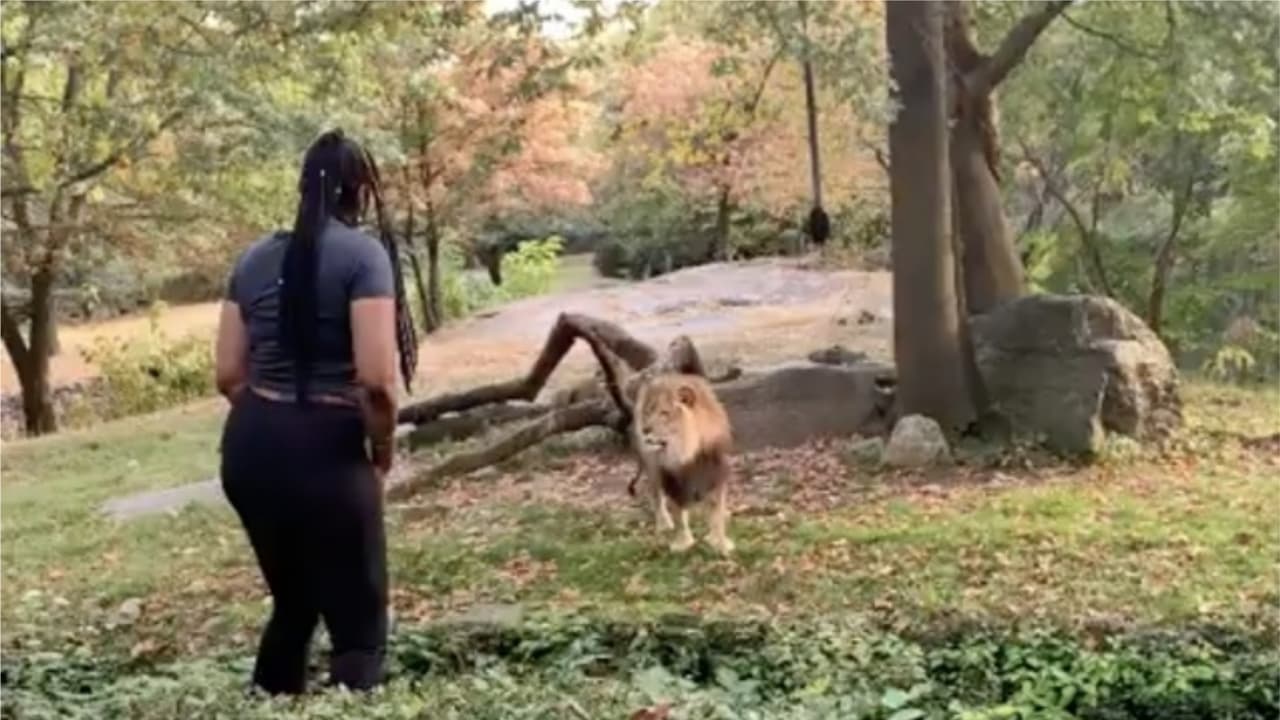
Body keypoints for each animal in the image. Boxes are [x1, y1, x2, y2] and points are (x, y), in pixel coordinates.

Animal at [630, 372, 735, 555]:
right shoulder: (672, 481)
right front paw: (683, 543)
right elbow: (678, 514)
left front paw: (720, 543)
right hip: (652, 469)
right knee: (657, 497)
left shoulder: (716, 475)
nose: (645, 430)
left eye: (664, 413)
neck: (686, 453)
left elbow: (716, 515)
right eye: (648, 412)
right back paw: (664, 524)